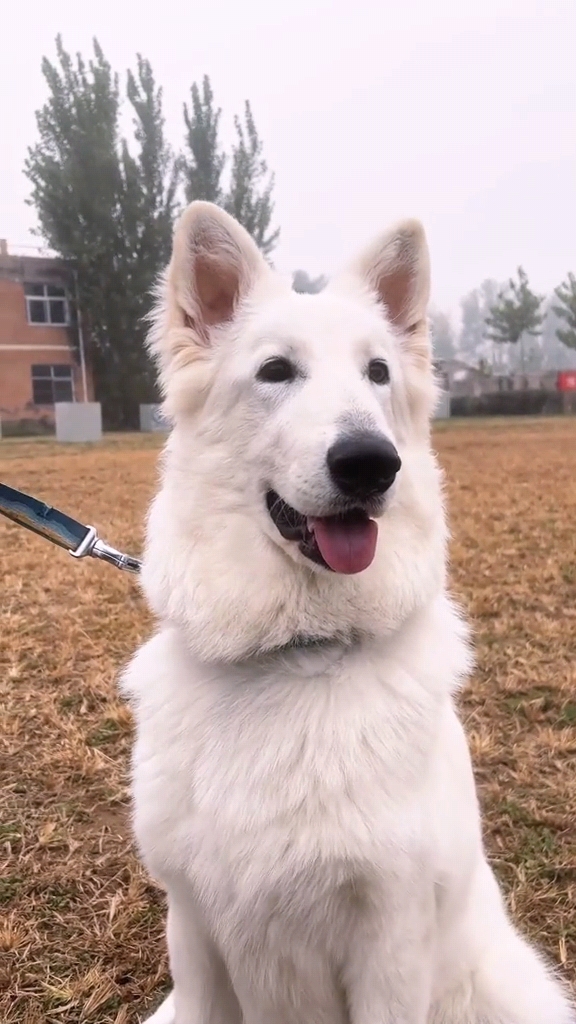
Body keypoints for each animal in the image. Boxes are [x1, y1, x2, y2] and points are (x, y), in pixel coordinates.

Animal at [123, 201, 569, 1024]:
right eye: (276, 371)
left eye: (378, 373)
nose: (370, 462)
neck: (299, 649)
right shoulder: (193, 932)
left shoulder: (389, 936)